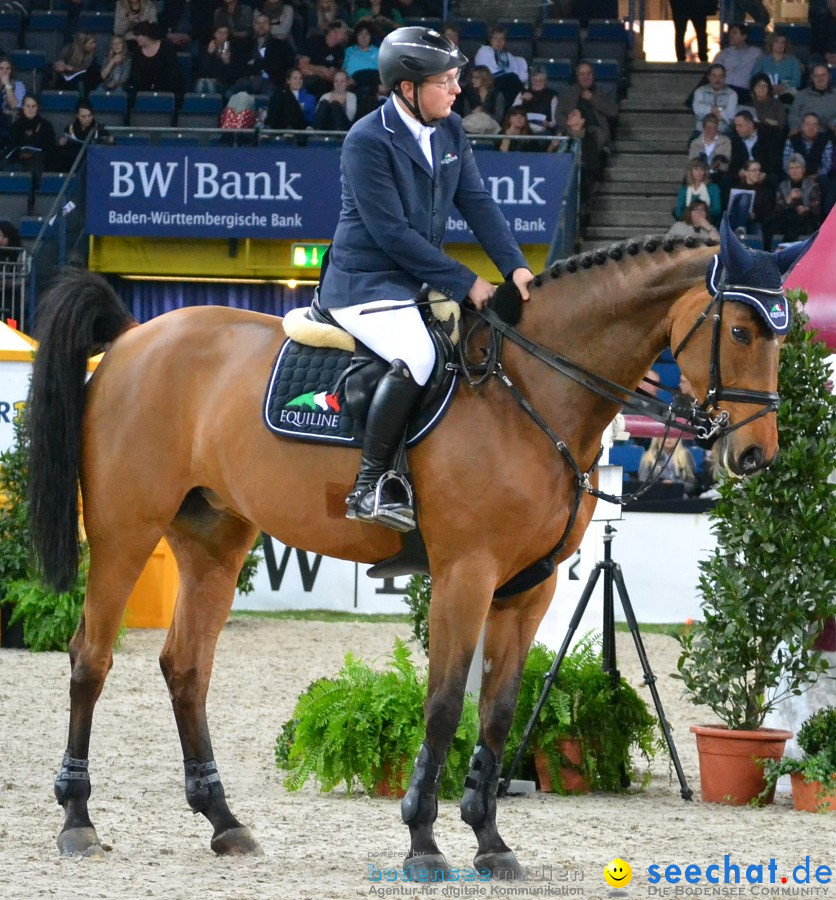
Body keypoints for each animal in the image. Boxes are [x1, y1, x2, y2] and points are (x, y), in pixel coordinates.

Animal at [29, 227, 804, 880]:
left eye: (783, 339)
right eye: (740, 330)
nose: (756, 455)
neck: (534, 391)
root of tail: (133, 336)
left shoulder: (530, 589)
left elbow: (498, 710)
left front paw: (490, 842)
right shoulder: (467, 574)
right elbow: (443, 703)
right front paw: (424, 842)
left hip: (215, 540)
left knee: (186, 667)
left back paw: (224, 822)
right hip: (125, 530)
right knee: (90, 657)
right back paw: (77, 820)